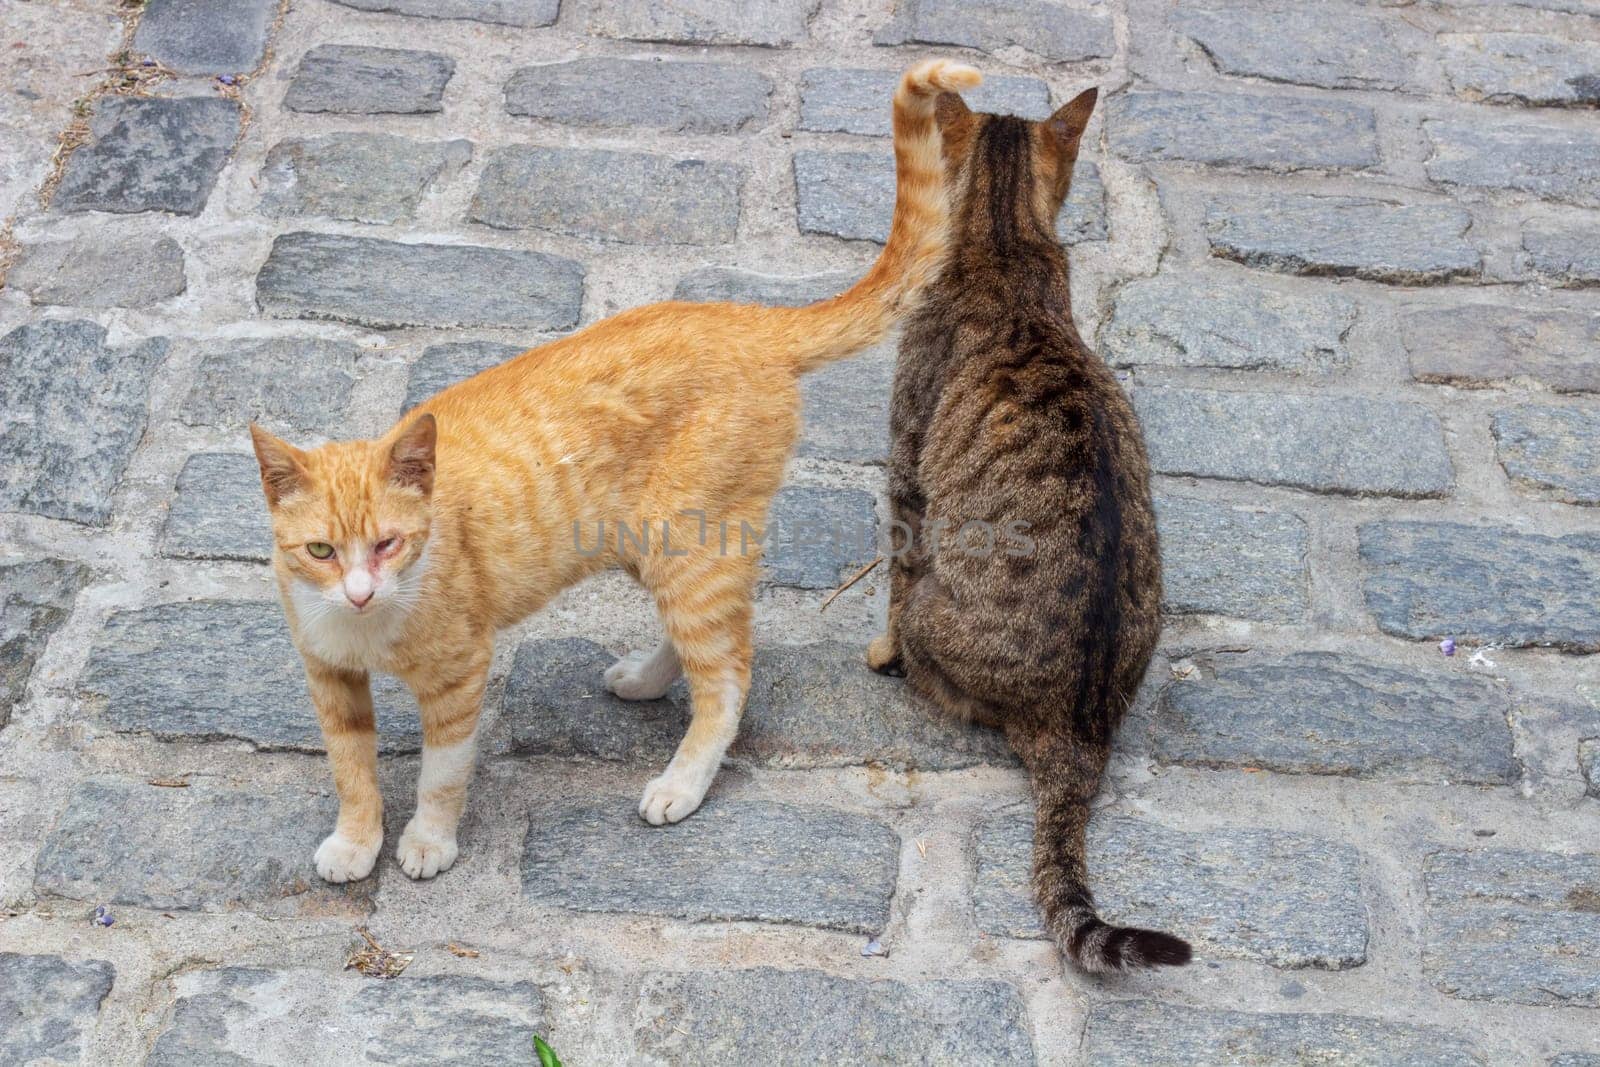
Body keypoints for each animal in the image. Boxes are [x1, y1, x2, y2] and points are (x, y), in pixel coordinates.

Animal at [251, 62, 979, 889]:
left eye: (389, 544)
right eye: (320, 551)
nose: (360, 591)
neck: (367, 630)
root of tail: (749, 319)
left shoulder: (459, 675)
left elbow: (441, 773)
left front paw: (429, 841)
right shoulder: (328, 678)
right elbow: (352, 769)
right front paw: (356, 838)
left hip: (687, 546)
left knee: (728, 671)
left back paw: (680, 782)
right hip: (660, 546)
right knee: (718, 633)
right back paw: (648, 678)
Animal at [864, 89, 1190, 979]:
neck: (1004, 233)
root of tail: (1079, 729)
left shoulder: (906, 467)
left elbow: (894, 569)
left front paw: (876, 650)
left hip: (937, 613)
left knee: (934, 661)